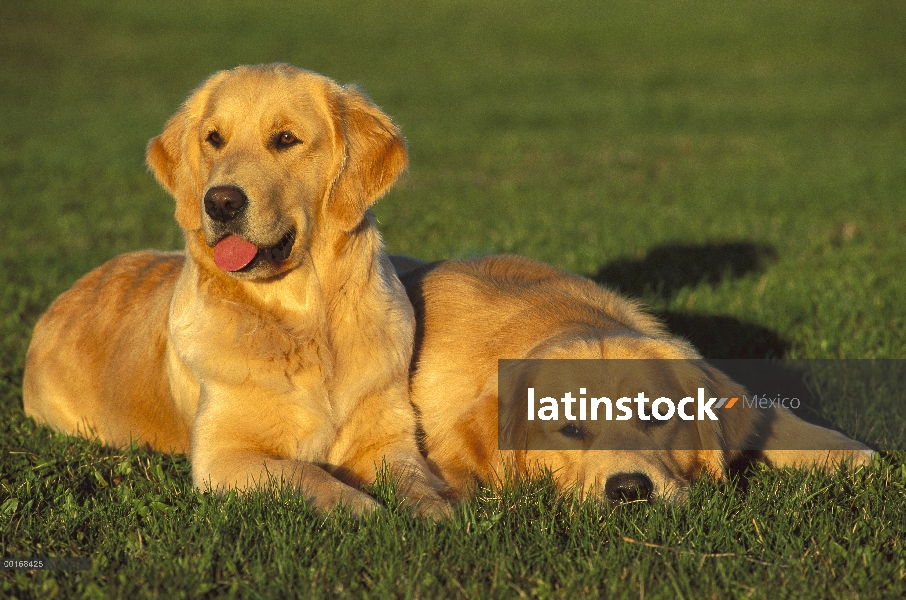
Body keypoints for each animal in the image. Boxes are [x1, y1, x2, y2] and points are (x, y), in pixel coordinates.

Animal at [27, 64, 448, 516]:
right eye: (214, 138)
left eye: (285, 139)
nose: (221, 202)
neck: (303, 321)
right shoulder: (223, 456)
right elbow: (305, 472)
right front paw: (359, 507)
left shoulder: (388, 437)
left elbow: (414, 478)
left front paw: (434, 511)